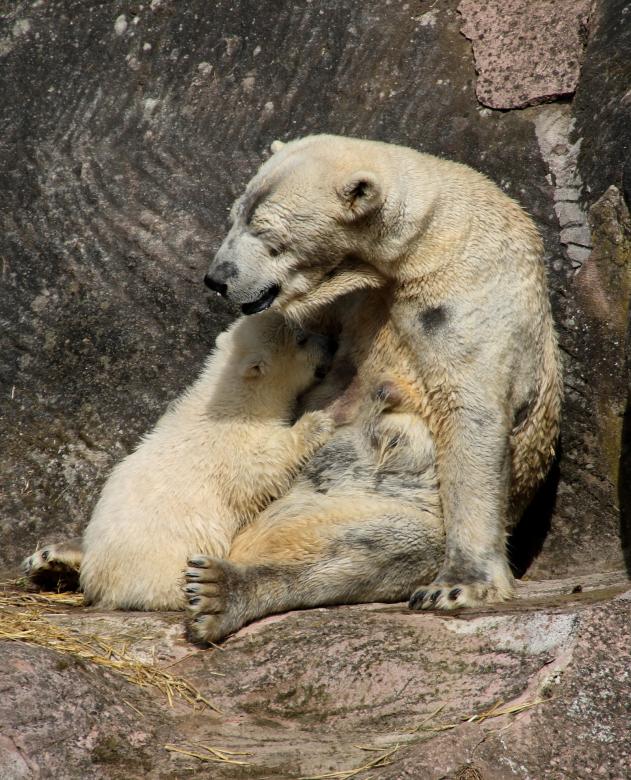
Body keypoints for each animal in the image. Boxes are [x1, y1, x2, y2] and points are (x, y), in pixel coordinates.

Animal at [22, 311, 335, 610]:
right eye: (301, 338)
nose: (329, 343)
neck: (229, 400)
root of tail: (102, 587)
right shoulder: (231, 446)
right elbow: (265, 468)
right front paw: (317, 423)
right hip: (163, 567)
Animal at [202, 133, 562, 615]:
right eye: (234, 217)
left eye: (268, 232)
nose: (217, 278)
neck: (421, 246)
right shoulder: (351, 302)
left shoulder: (467, 292)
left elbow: (471, 415)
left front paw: (458, 585)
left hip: (375, 502)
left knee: (377, 543)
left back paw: (220, 589)